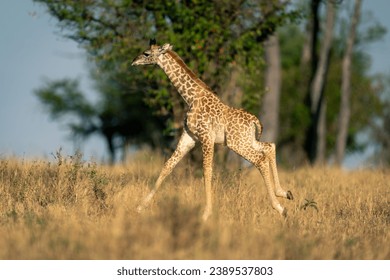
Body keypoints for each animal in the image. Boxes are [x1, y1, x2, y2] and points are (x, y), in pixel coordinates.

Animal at [132, 38, 292, 221]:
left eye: (146, 53)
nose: (134, 61)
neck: (191, 98)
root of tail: (255, 121)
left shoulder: (206, 137)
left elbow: (206, 171)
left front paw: (206, 213)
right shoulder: (189, 137)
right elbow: (167, 166)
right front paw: (140, 207)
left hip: (237, 143)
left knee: (260, 159)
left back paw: (280, 208)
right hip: (246, 140)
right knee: (269, 146)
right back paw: (284, 193)